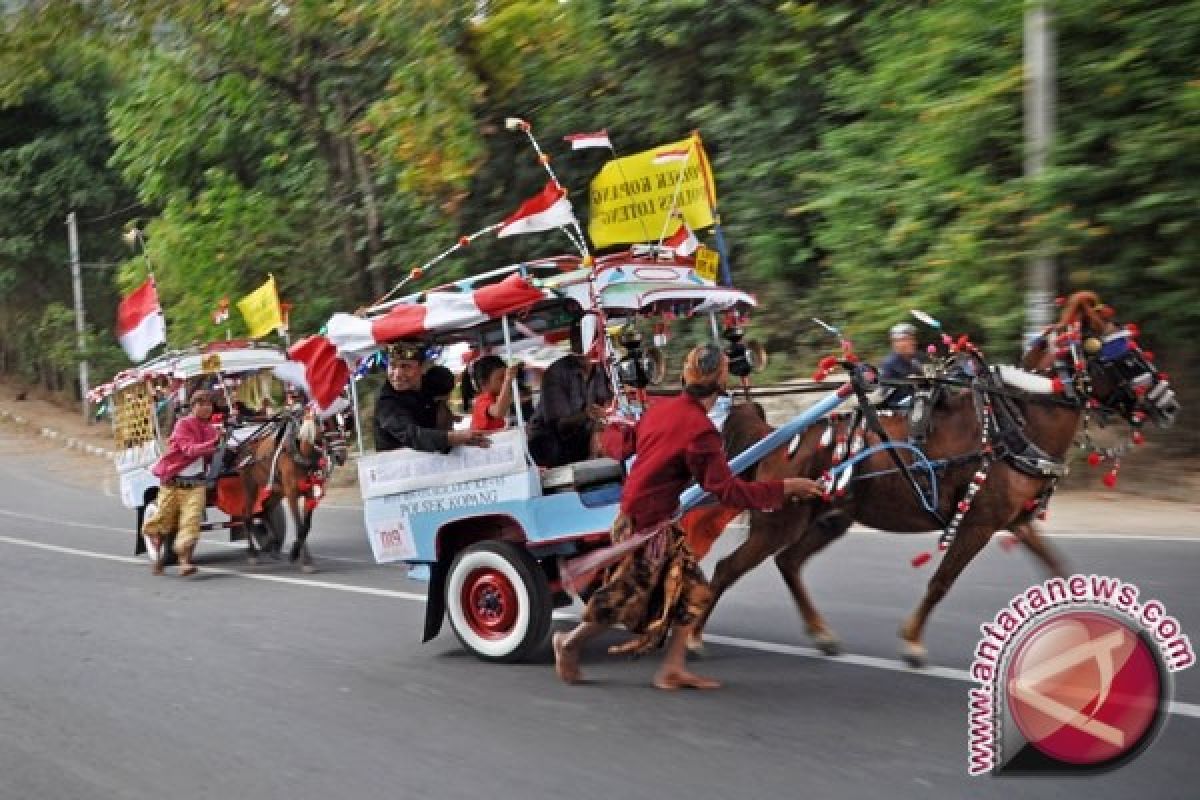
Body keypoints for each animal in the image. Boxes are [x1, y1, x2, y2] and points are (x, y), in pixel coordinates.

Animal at [691, 291, 1176, 666]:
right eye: (1125, 358)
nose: (1169, 404)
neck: (1012, 423)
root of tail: (778, 437)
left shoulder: (1016, 520)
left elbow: (1061, 572)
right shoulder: (978, 522)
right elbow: (942, 581)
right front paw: (912, 642)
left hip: (829, 518)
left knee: (788, 562)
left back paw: (820, 633)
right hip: (779, 519)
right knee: (729, 567)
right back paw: (693, 636)